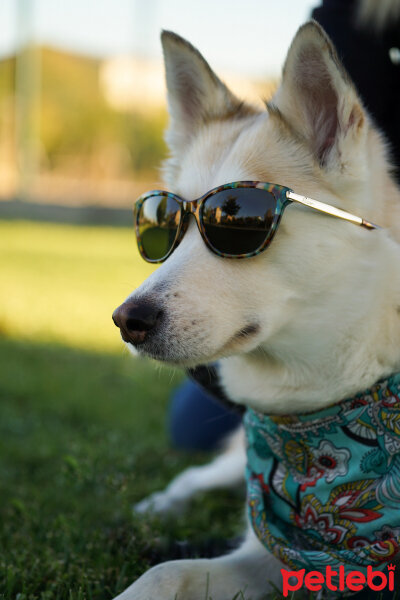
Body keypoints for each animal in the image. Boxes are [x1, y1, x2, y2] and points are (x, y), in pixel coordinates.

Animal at [111, 10, 400, 600]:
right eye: (162, 225)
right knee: (195, 476)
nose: (127, 320)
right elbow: (164, 570)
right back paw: (159, 507)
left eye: (238, 220)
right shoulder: (276, 554)